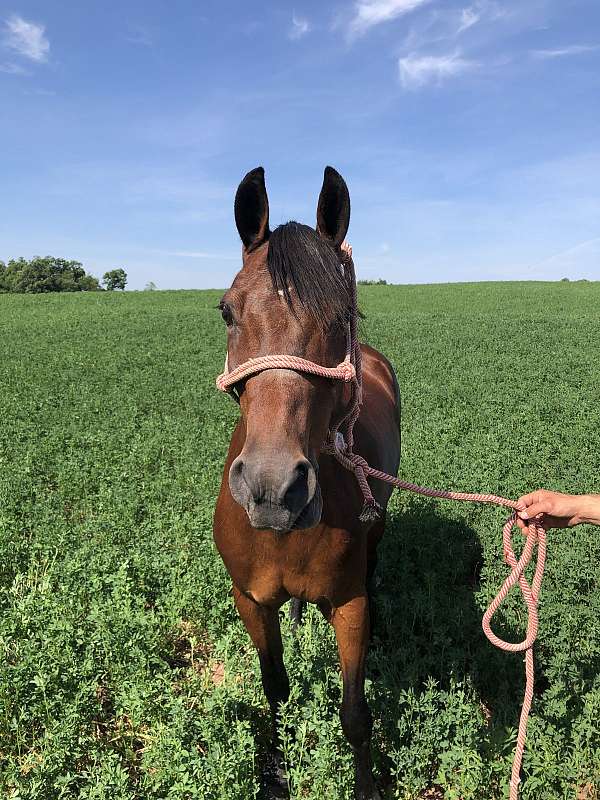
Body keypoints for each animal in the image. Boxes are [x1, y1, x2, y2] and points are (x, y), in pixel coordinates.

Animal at [213, 166, 401, 800]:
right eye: (227, 311)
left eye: (342, 316)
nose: (272, 488)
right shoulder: (250, 600)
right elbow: (274, 686)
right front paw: (274, 770)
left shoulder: (349, 605)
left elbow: (356, 716)